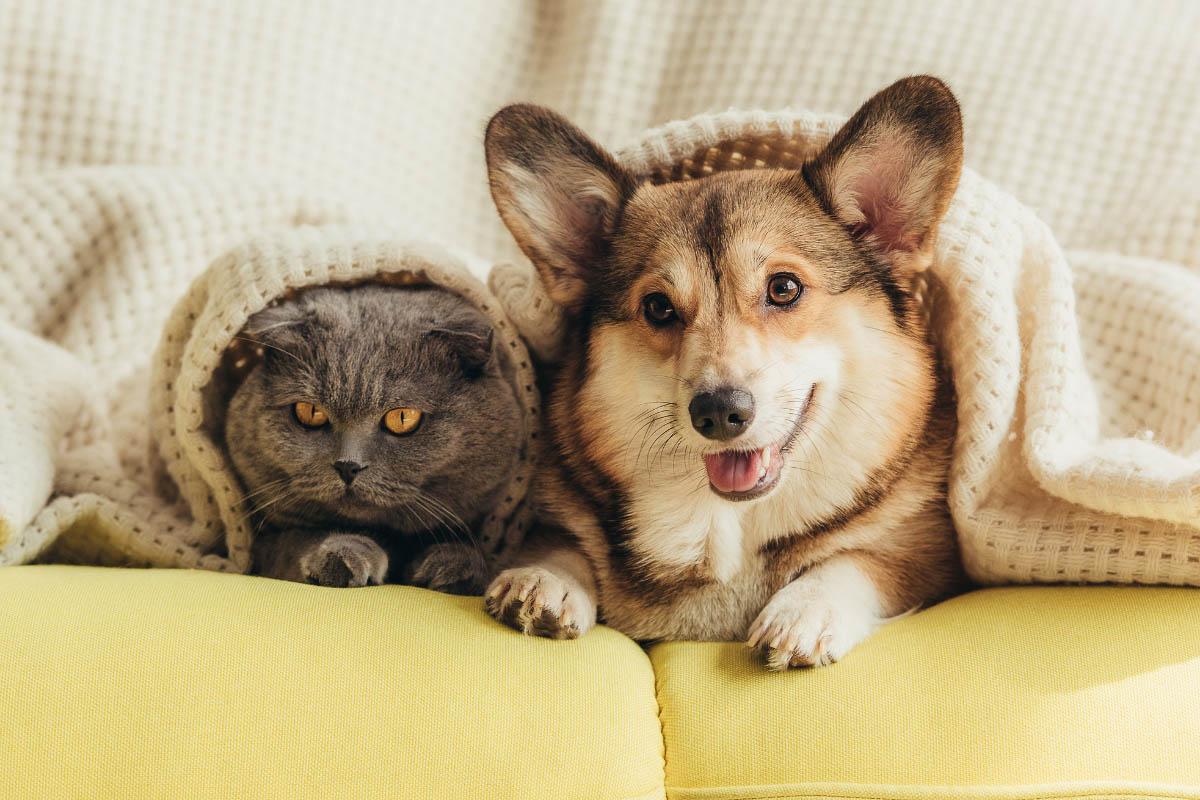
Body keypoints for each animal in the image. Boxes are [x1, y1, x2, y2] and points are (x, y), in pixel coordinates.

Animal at [225, 284, 525, 592]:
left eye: (402, 417)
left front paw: (455, 565)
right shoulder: (263, 545)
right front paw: (344, 555)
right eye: (310, 412)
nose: (348, 465)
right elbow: (294, 540)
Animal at [480, 76, 964, 671]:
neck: (724, 524)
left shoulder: (928, 554)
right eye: (658, 307)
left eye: (784, 288)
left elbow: (857, 560)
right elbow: (560, 541)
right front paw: (543, 579)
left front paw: (805, 611)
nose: (718, 413)